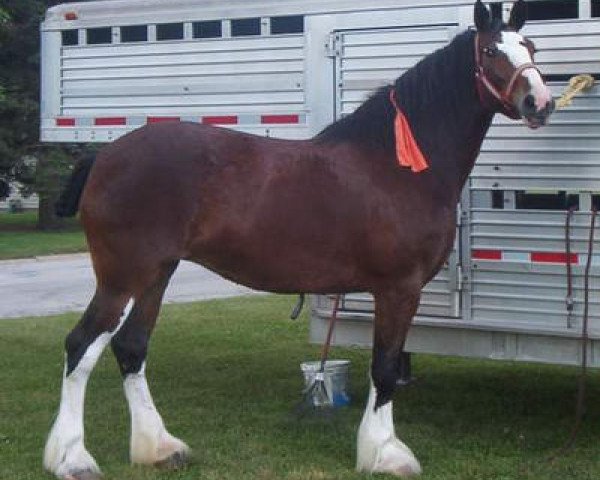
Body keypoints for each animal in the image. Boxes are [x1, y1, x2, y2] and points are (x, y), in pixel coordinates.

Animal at [44, 1, 556, 478]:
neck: (395, 165)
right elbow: (385, 368)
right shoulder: (398, 288)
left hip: (157, 274)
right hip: (123, 276)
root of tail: (106, 156)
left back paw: (159, 448)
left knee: (131, 347)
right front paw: (384, 453)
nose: (540, 102)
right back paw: (72, 459)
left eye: (530, 48)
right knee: (81, 345)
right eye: (491, 52)